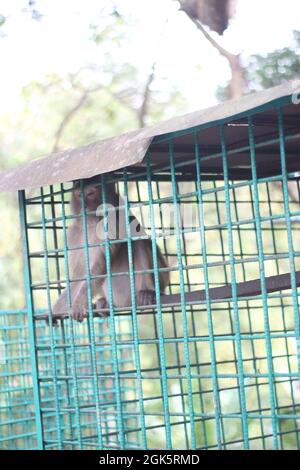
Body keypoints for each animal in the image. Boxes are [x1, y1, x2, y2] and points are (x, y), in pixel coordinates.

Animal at [51, 178, 169, 322]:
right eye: (79, 195)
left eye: (90, 193)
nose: (84, 207)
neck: (92, 224)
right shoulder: (73, 234)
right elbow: (80, 274)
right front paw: (55, 310)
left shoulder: (113, 223)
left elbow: (100, 265)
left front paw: (79, 303)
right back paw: (105, 303)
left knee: (138, 241)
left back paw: (146, 292)